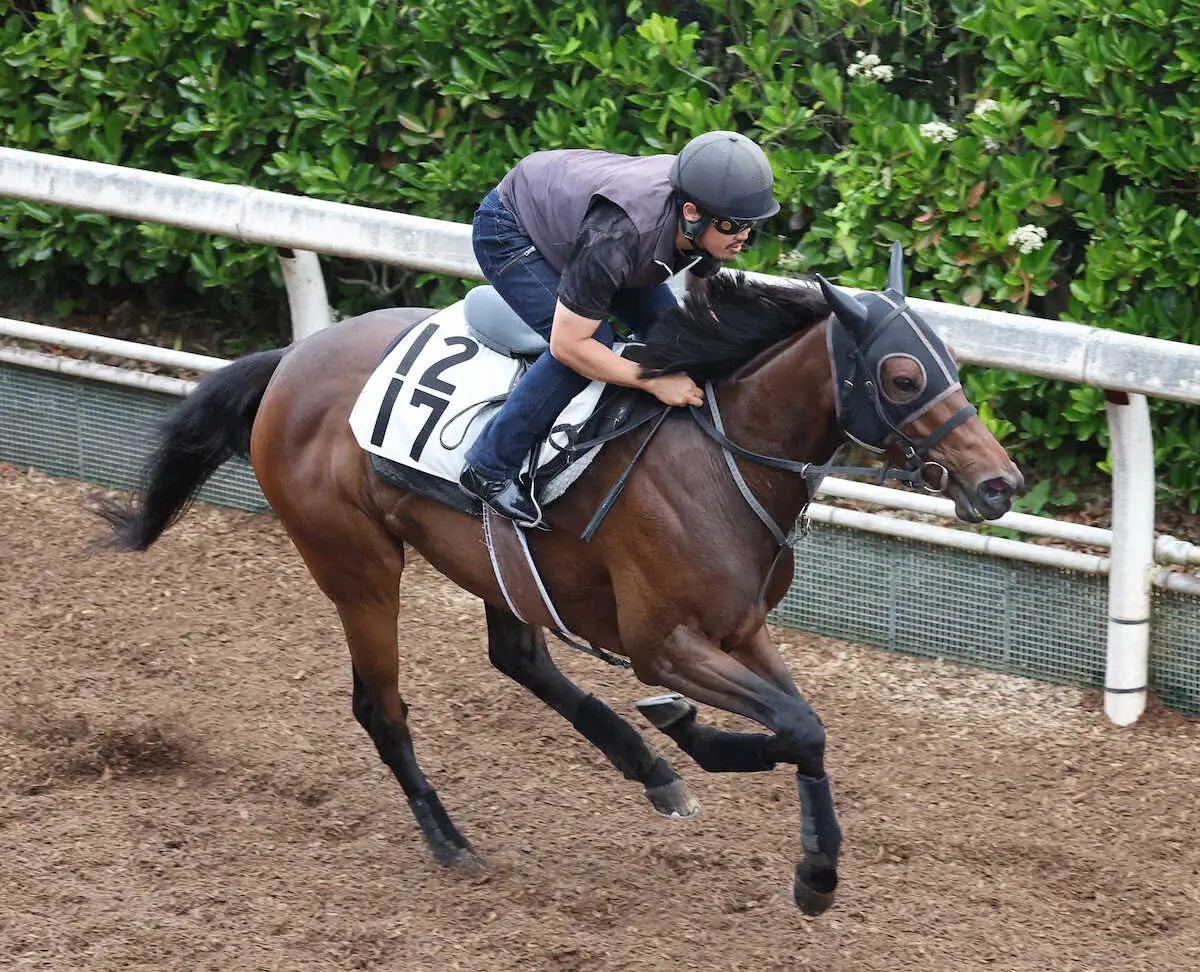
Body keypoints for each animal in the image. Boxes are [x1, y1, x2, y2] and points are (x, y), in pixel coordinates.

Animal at [100, 242, 1022, 907]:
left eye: (953, 364)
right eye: (902, 374)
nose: (999, 483)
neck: (719, 455)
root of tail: (292, 361)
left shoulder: (741, 627)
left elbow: (806, 724)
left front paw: (814, 871)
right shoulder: (663, 642)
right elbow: (793, 724)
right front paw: (707, 751)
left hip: (488, 559)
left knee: (518, 657)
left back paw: (648, 768)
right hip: (356, 566)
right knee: (381, 707)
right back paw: (452, 842)